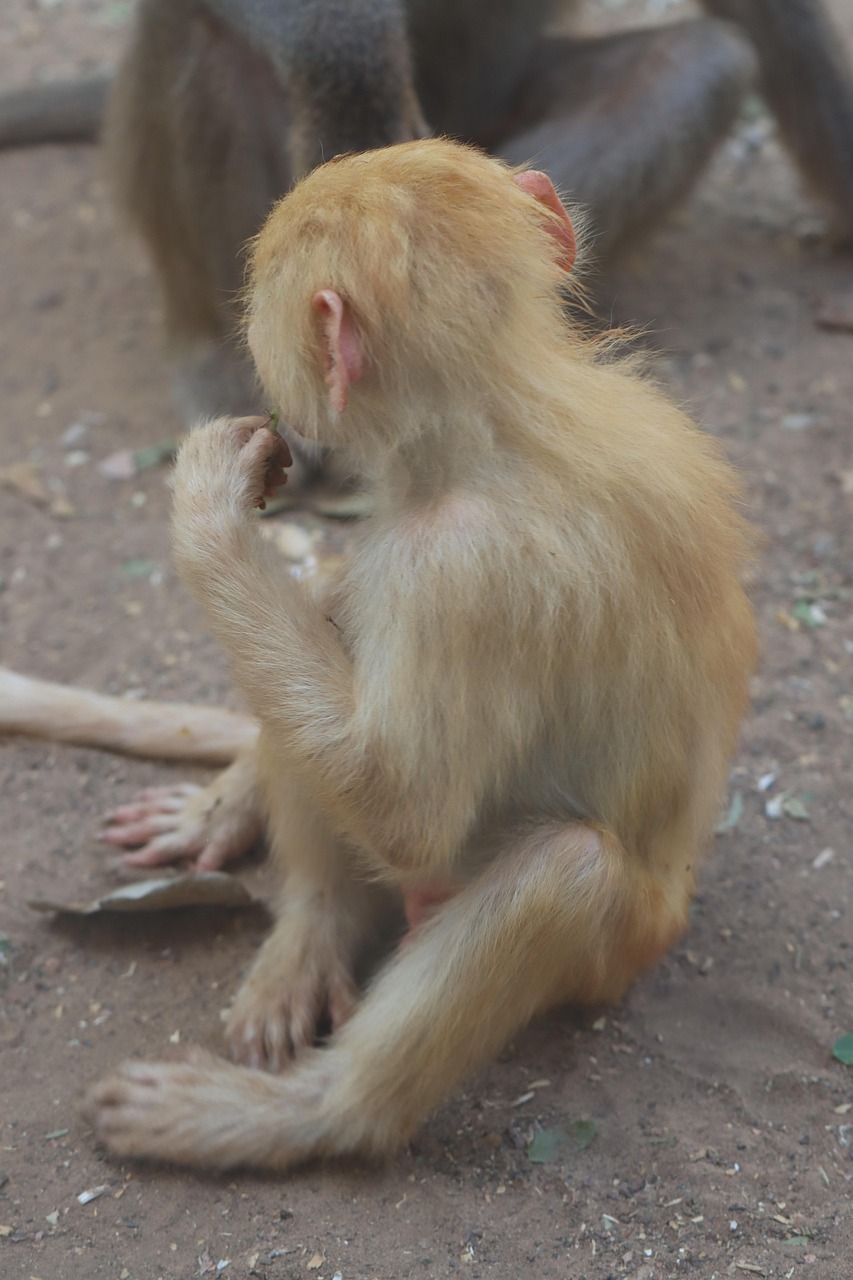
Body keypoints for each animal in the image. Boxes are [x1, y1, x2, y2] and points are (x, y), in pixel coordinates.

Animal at [73, 138, 758, 1171]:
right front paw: (224, 803)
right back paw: (313, 927)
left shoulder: (450, 570)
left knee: (563, 872)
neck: (508, 421)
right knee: (332, 605)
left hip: (616, 953)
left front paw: (206, 510)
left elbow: (402, 807)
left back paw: (310, 1115)